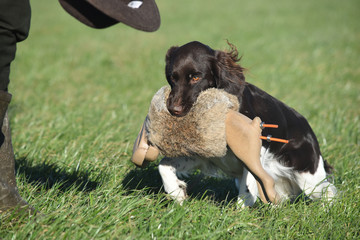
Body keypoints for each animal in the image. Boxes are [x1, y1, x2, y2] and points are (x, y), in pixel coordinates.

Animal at [159, 41, 336, 206]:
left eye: (196, 77)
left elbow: (247, 189)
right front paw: (176, 192)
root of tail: (310, 132)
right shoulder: (203, 155)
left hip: (308, 176)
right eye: (172, 77)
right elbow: (164, 165)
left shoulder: (255, 150)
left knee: (328, 191)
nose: (173, 109)